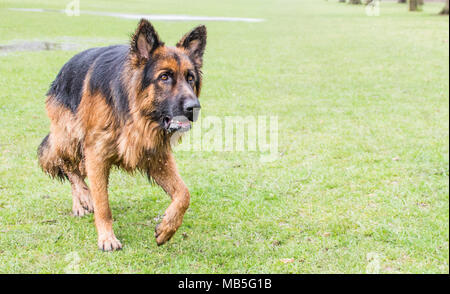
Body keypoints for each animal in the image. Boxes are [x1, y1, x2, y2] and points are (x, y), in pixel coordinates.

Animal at [37, 19, 207, 252]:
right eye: (164, 77)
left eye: (190, 78)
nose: (194, 107)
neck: (134, 113)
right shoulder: (97, 155)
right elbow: (103, 204)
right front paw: (107, 237)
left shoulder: (156, 156)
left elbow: (184, 194)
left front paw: (167, 228)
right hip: (68, 136)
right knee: (67, 165)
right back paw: (83, 197)